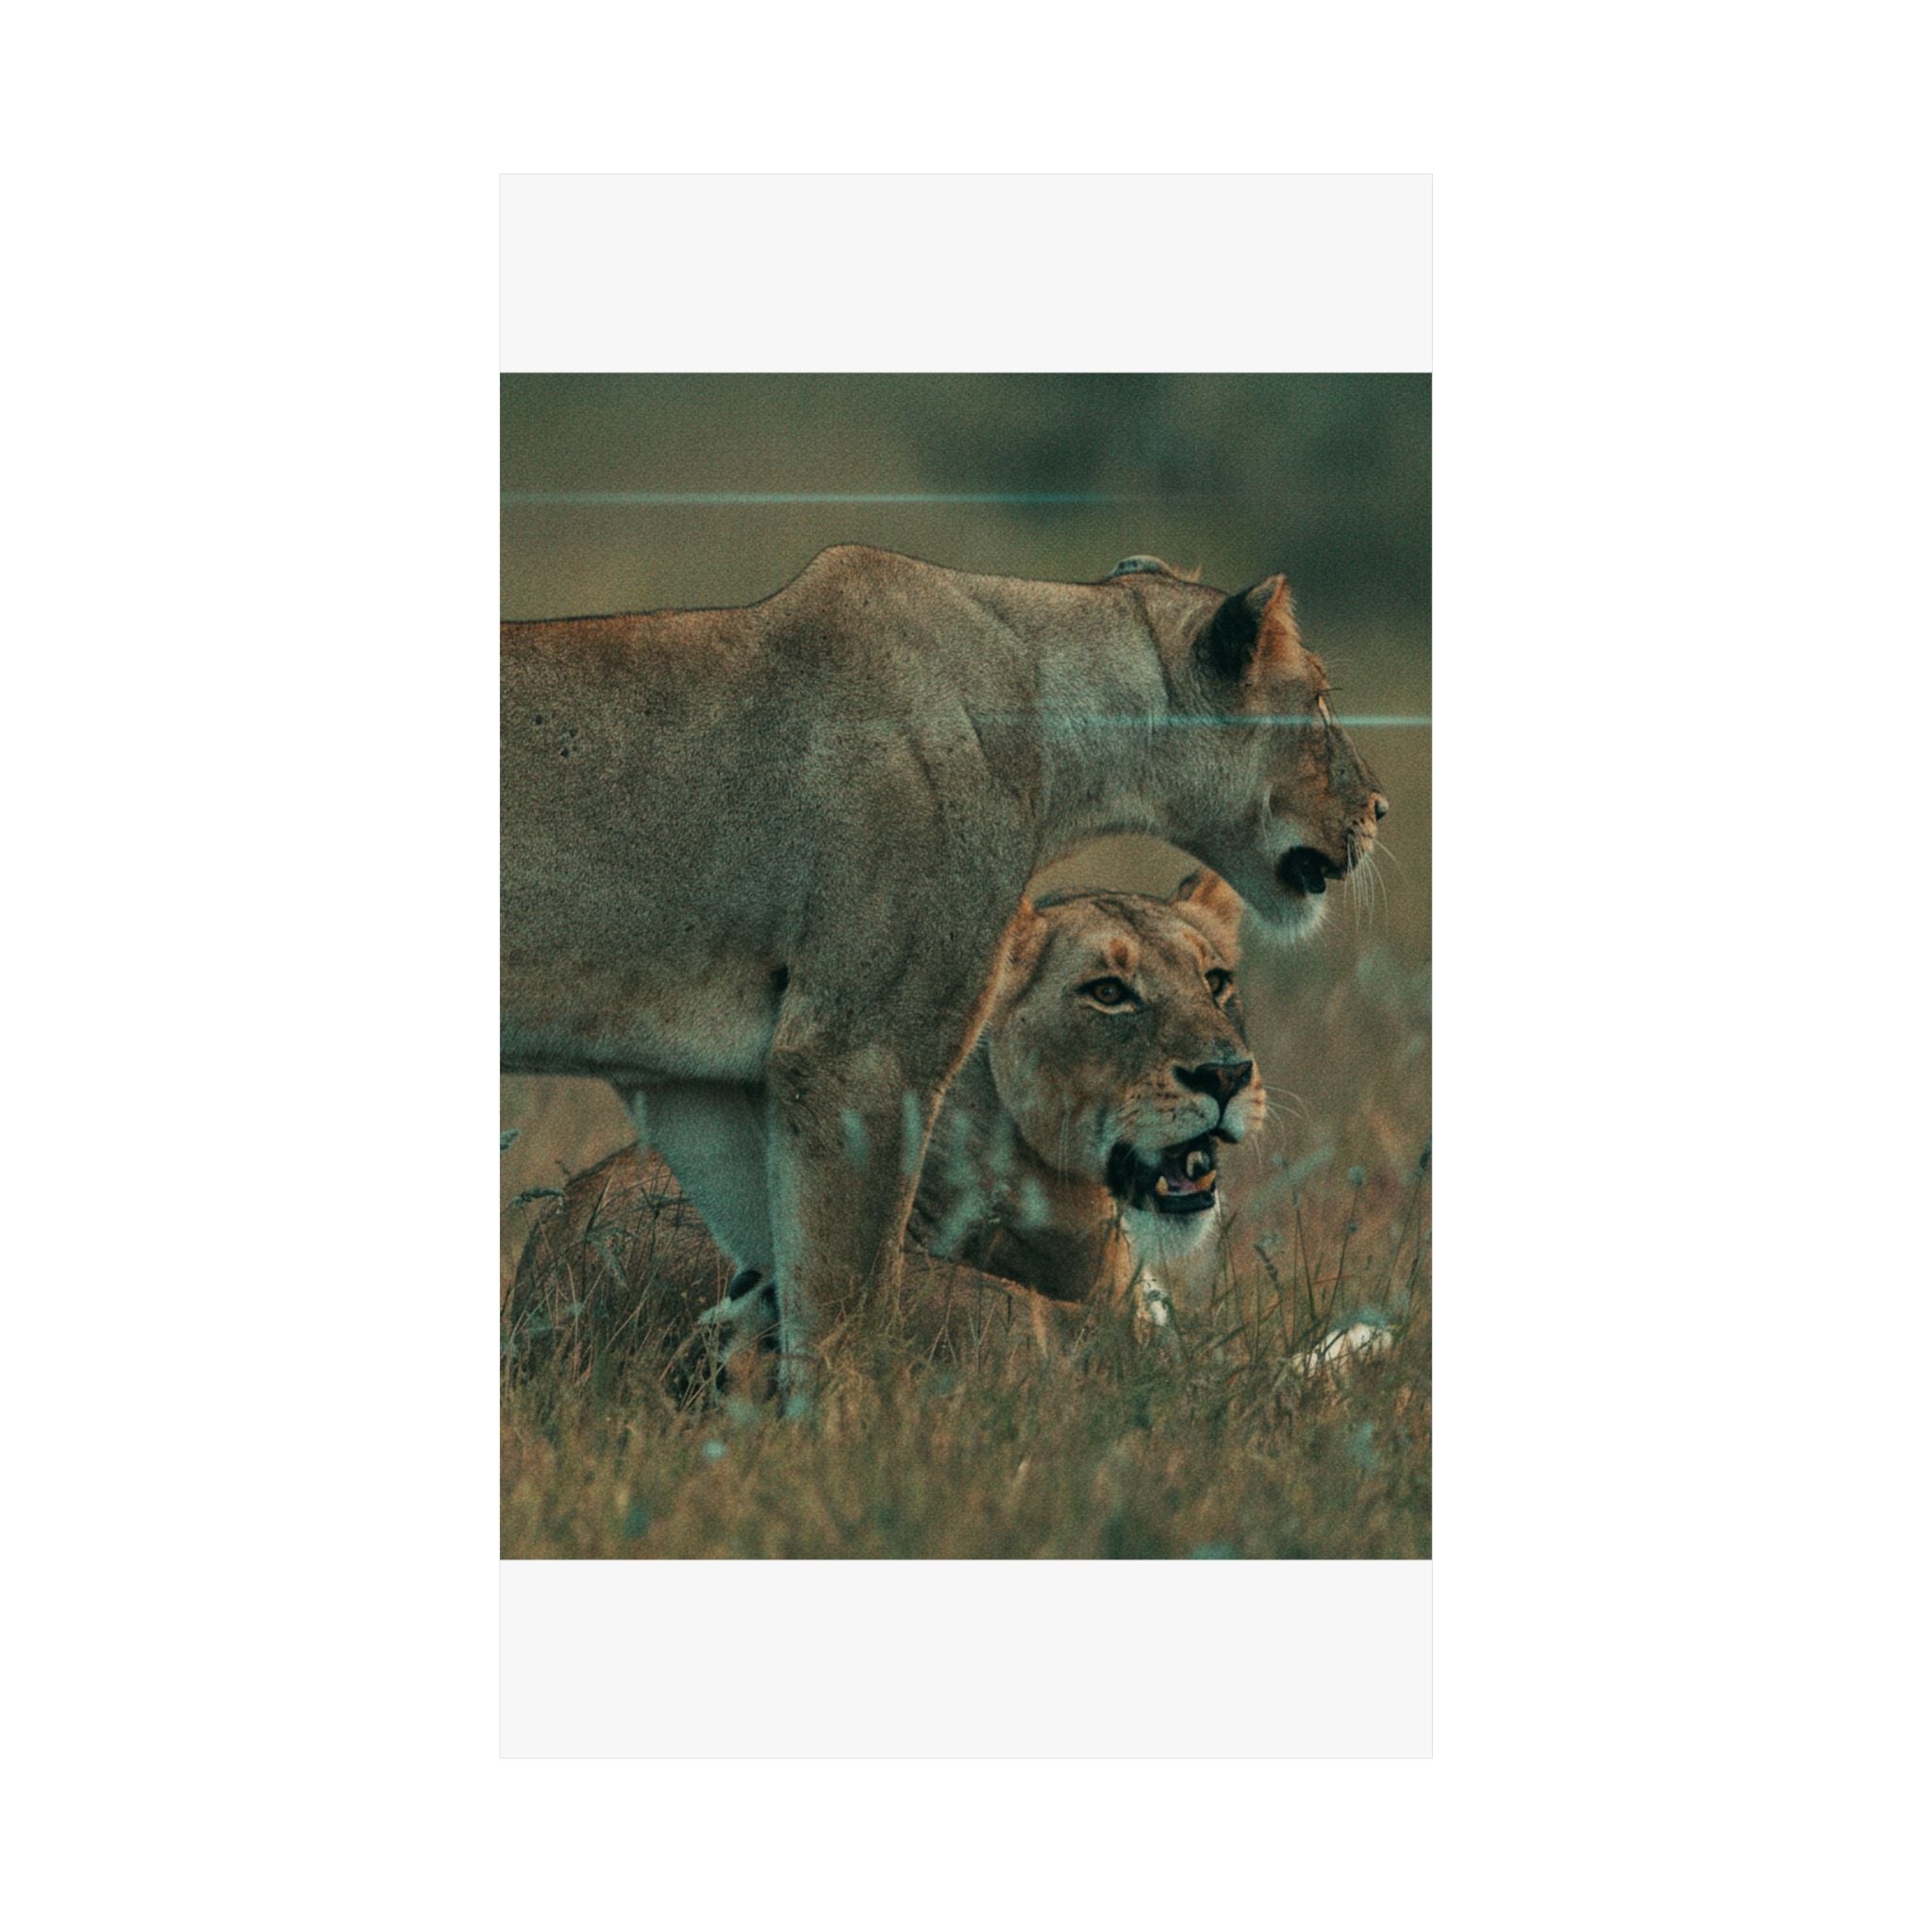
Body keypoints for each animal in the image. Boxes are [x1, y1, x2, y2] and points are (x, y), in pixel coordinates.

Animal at [503, 547, 1385, 1405]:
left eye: (1217, 982)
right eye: (1317, 700)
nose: (1380, 808)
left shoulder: (696, 1088)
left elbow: (777, 1274)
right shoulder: (858, 1053)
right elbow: (847, 1307)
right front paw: (847, 1436)